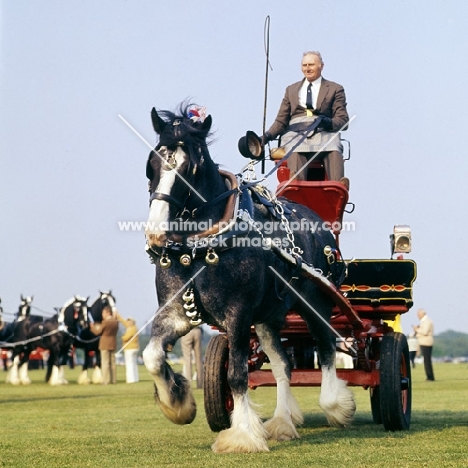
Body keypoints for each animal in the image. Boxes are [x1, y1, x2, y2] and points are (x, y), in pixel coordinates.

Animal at [142, 105, 354, 454]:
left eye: (192, 169)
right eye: (152, 165)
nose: (156, 235)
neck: (201, 248)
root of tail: (319, 223)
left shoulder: (237, 315)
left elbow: (237, 375)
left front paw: (241, 436)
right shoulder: (174, 314)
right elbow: (153, 356)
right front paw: (178, 404)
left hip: (315, 303)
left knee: (324, 348)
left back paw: (336, 405)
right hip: (267, 317)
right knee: (283, 365)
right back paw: (282, 422)